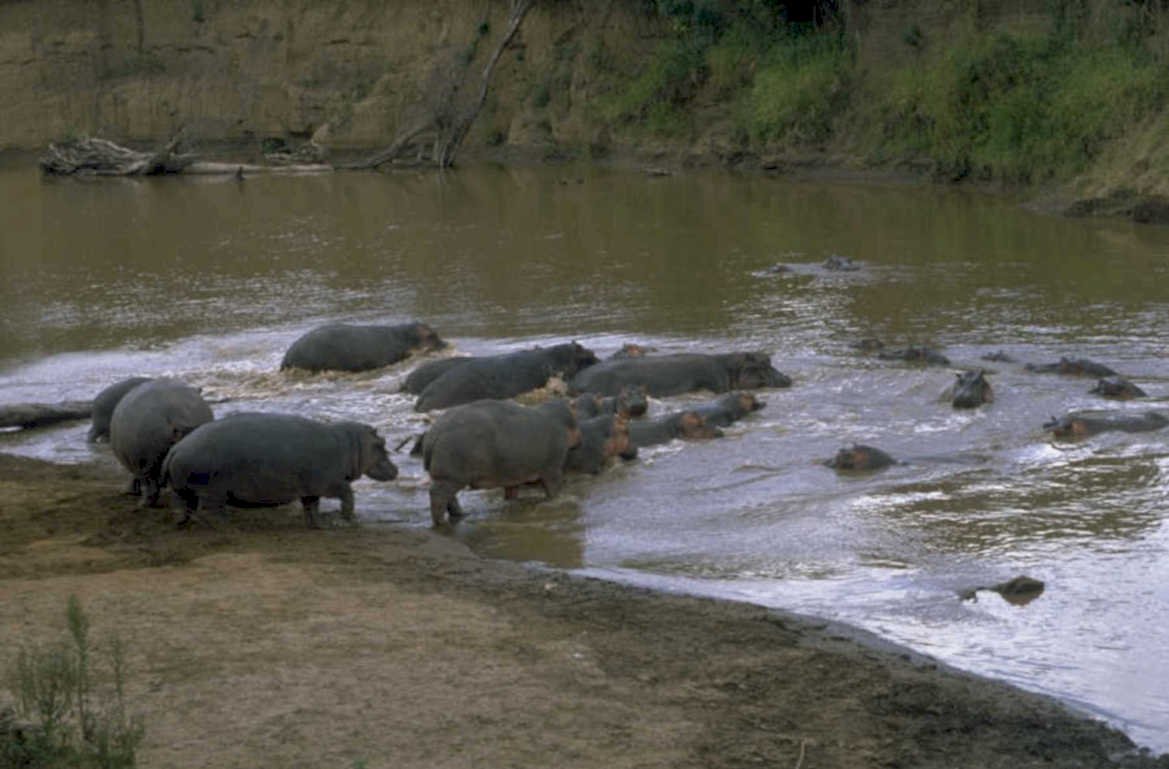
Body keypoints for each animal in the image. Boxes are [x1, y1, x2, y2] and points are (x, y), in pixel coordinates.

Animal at [162, 412, 398, 527]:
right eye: (381, 443)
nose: (396, 469)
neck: (350, 445)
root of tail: (175, 449)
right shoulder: (331, 483)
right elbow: (348, 496)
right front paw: (347, 520)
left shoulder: (310, 489)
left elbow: (311, 508)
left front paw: (318, 525)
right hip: (212, 491)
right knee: (210, 511)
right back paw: (226, 527)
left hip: (186, 490)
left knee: (186, 507)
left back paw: (184, 524)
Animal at [422, 399, 582, 526]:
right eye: (577, 417)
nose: (580, 439)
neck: (563, 420)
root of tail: (435, 432)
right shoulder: (552, 468)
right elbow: (553, 487)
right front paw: (556, 499)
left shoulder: (513, 474)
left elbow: (512, 492)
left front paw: (512, 503)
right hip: (452, 476)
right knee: (437, 495)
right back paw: (441, 522)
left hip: (449, 477)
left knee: (449, 497)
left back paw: (462, 515)